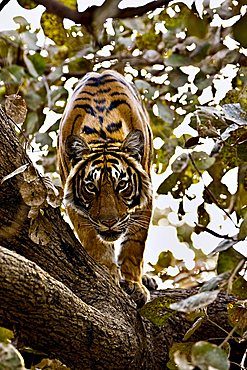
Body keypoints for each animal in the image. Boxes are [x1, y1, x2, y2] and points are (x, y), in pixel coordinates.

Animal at [58, 69, 153, 306]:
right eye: (91, 187)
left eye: (122, 185)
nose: (109, 223)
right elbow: (93, 239)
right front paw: (108, 272)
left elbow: (135, 243)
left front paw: (134, 284)